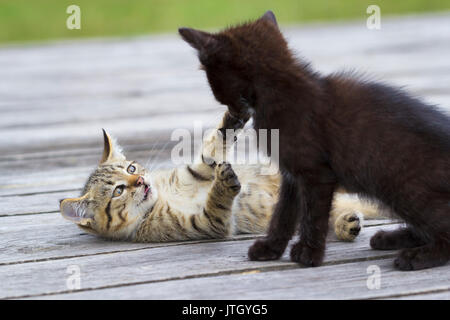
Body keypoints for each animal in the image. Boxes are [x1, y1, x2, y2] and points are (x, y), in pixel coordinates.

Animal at [60, 111, 384, 241]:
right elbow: (215, 204)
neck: (163, 196)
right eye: (117, 191)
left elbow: (213, 146)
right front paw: (224, 185)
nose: (140, 182)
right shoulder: (205, 224)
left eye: (131, 169)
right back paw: (347, 224)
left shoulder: (197, 170)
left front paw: (232, 118)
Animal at [179, 10, 450, 270]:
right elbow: (284, 214)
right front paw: (271, 248)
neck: (280, 90)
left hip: (404, 187)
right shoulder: (291, 176)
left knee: (444, 227)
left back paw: (418, 256)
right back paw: (392, 238)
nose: (235, 115)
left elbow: (313, 217)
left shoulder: (317, 174)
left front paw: (309, 254)